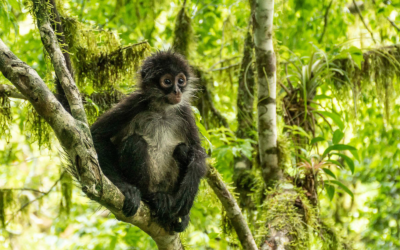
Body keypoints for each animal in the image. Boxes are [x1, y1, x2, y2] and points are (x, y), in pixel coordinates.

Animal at [88, 50, 206, 232]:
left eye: (180, 80)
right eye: (167, 81)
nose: (177, 91)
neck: (162, 110)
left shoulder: (184, 111)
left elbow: (198, 151)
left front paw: (189, 189)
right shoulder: (136, 102)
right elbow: (97, 135)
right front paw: (126, 189)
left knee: (182, 149)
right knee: (135, 142)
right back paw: (151, 198)